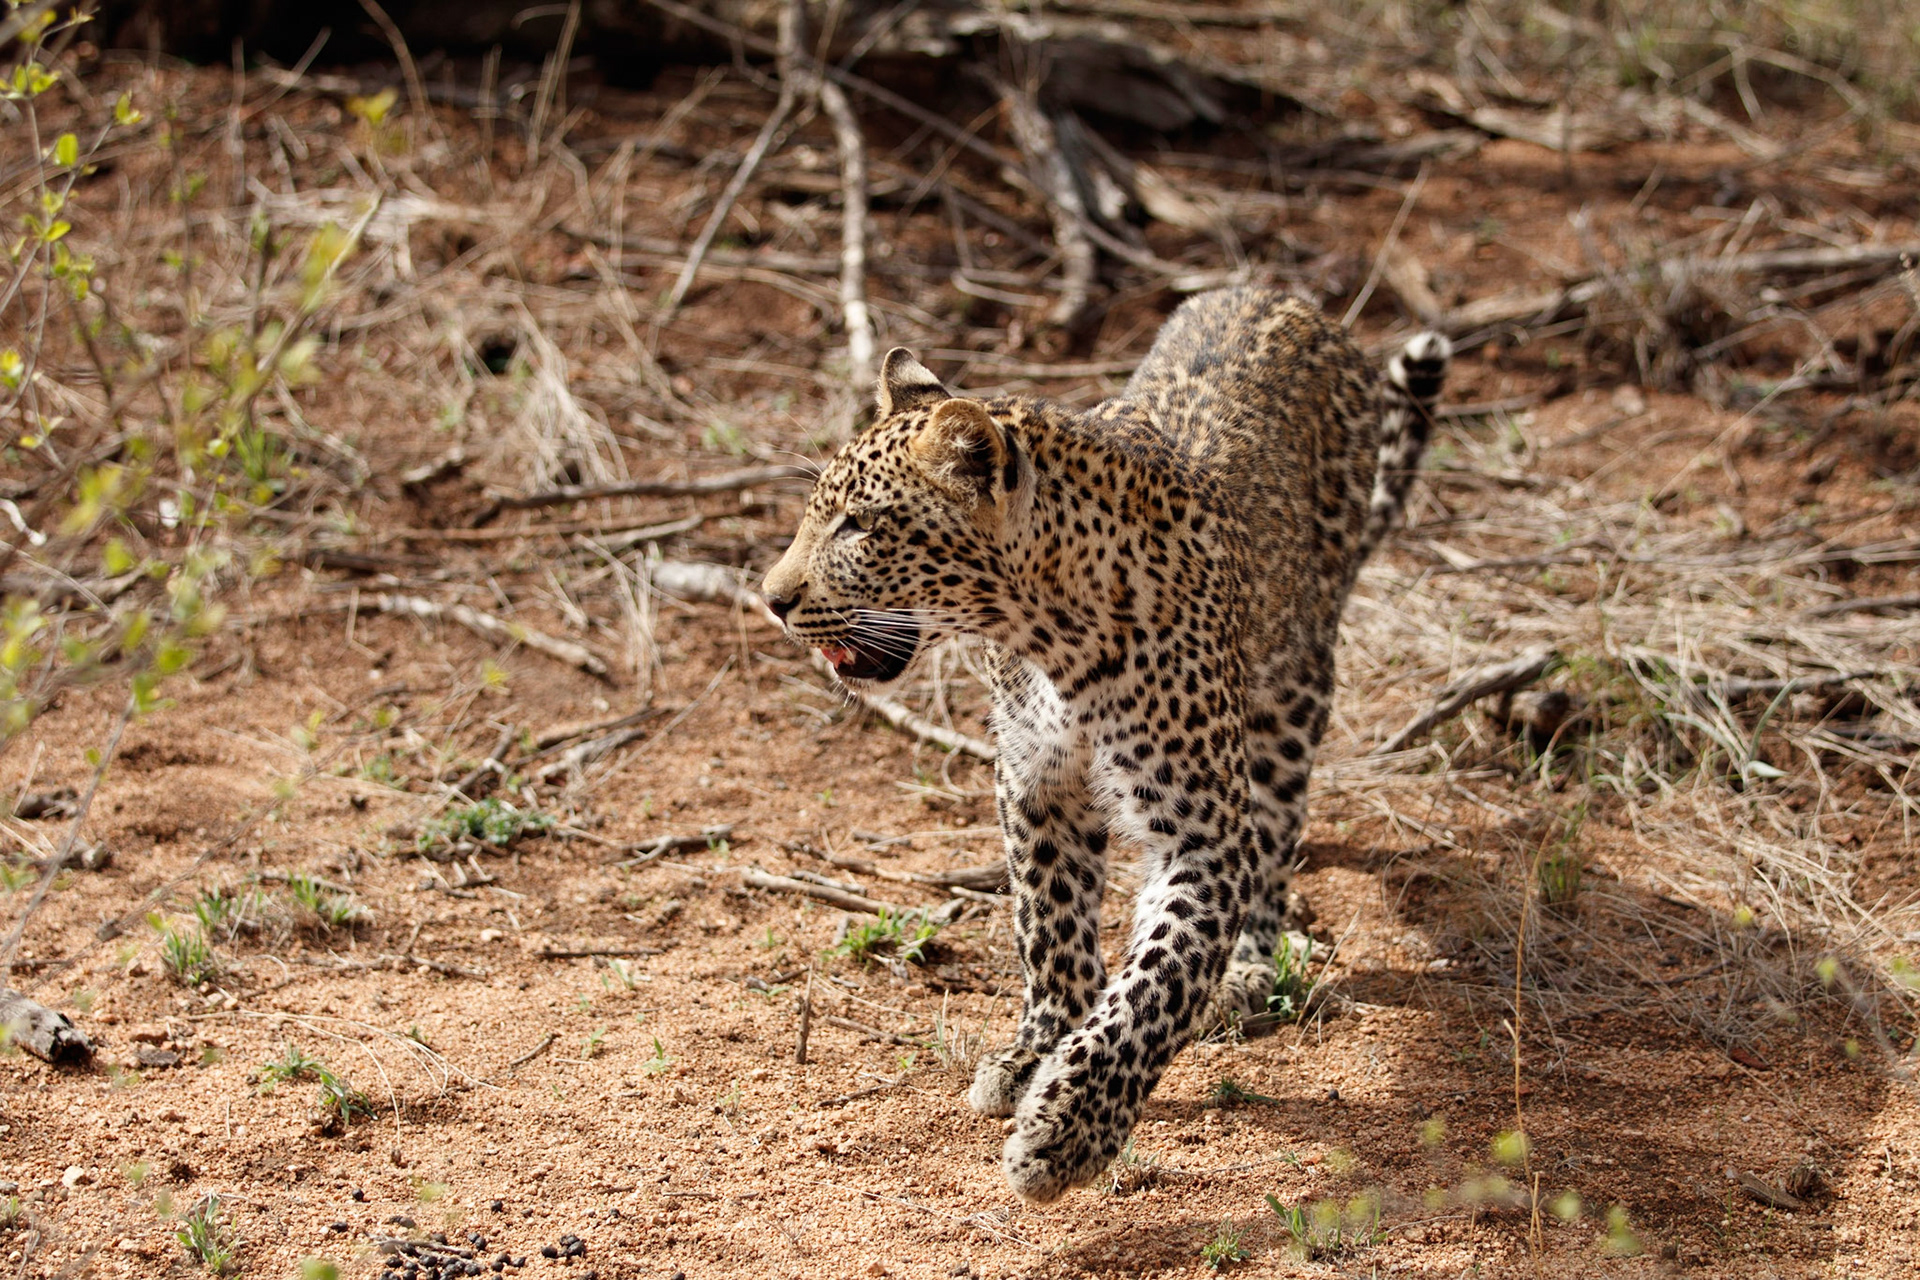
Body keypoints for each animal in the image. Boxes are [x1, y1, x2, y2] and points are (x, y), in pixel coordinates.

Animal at [760, 286, 1449, 1203]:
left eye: (861, 527)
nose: (772, 599)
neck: (1050, 633)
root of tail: (1289, 298)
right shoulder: (1037, 784)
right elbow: (1047, 926)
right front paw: (1035, 1052)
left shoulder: (1202, 831)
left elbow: (1159, 980)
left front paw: (1069, 1130)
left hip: (1292, 686)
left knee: (1275, 832)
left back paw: (1249, 969)